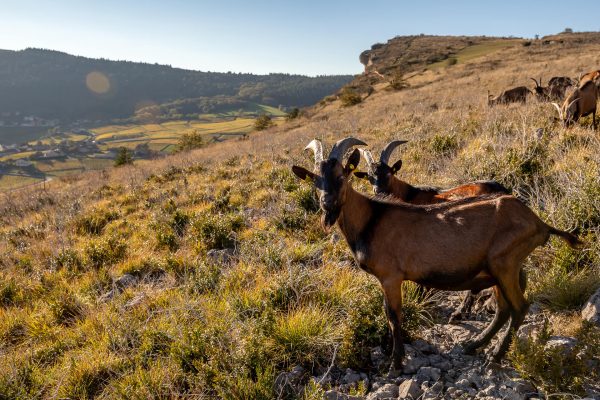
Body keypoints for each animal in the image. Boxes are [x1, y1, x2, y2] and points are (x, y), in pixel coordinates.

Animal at [354, 141, 508, 322]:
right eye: (370, 177)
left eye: (389, 173)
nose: (379, 192)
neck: (409, 195)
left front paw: (422, 299)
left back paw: (461, 312)